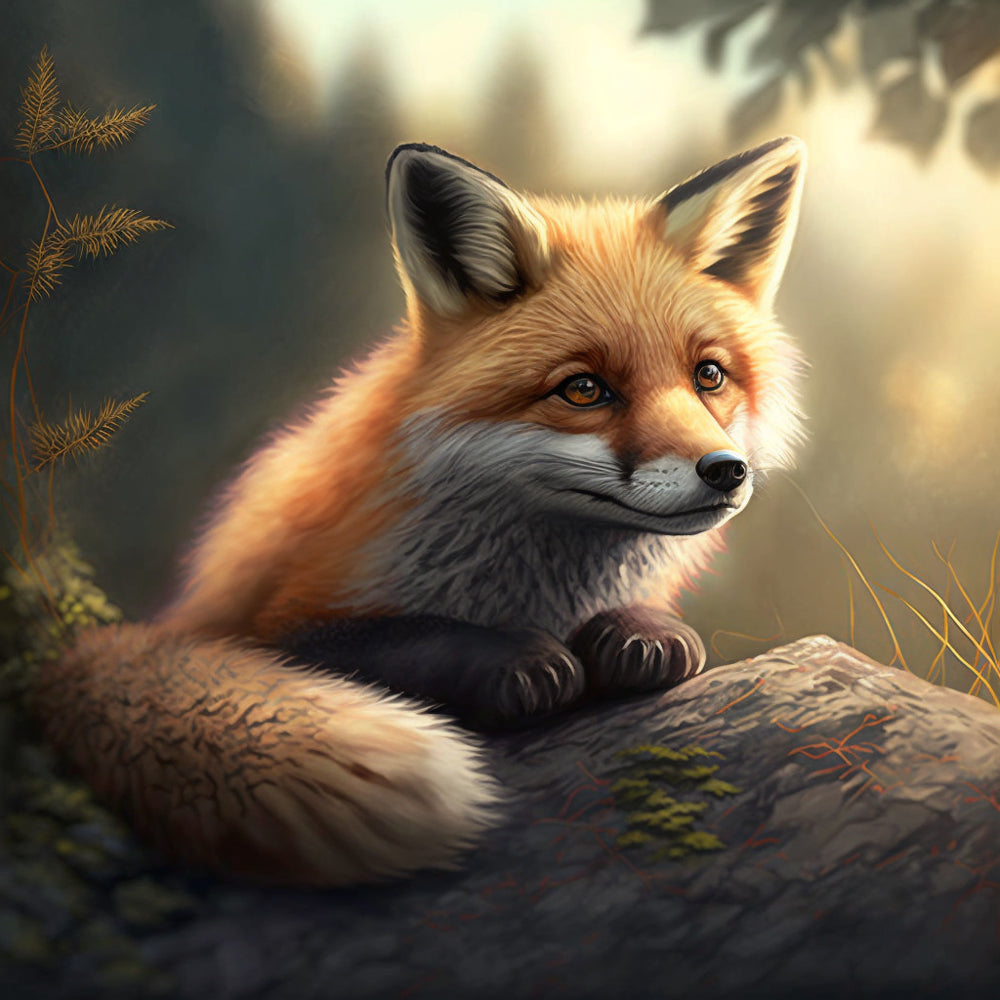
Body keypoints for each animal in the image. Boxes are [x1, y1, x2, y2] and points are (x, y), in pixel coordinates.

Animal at [34, 136, 806, 887]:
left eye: (709, 375)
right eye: (584, 389)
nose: (725, 471)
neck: (541, 587)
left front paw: (642, 633)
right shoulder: (280, 623)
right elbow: (410, 638)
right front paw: (514, 659)